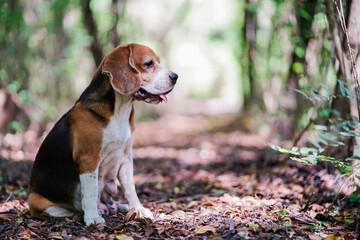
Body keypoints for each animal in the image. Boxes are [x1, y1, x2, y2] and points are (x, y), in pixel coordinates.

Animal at [28, 43, 178, 225]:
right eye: (148, 64)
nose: (175, 77)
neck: (119, 111)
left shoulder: (126, 157)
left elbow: (130, 188)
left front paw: (138, 209)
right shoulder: (89, 158)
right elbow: (91, 191)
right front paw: (92, 217)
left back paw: (122, 207)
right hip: (35, 200)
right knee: (68, 210)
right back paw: (86, 213)